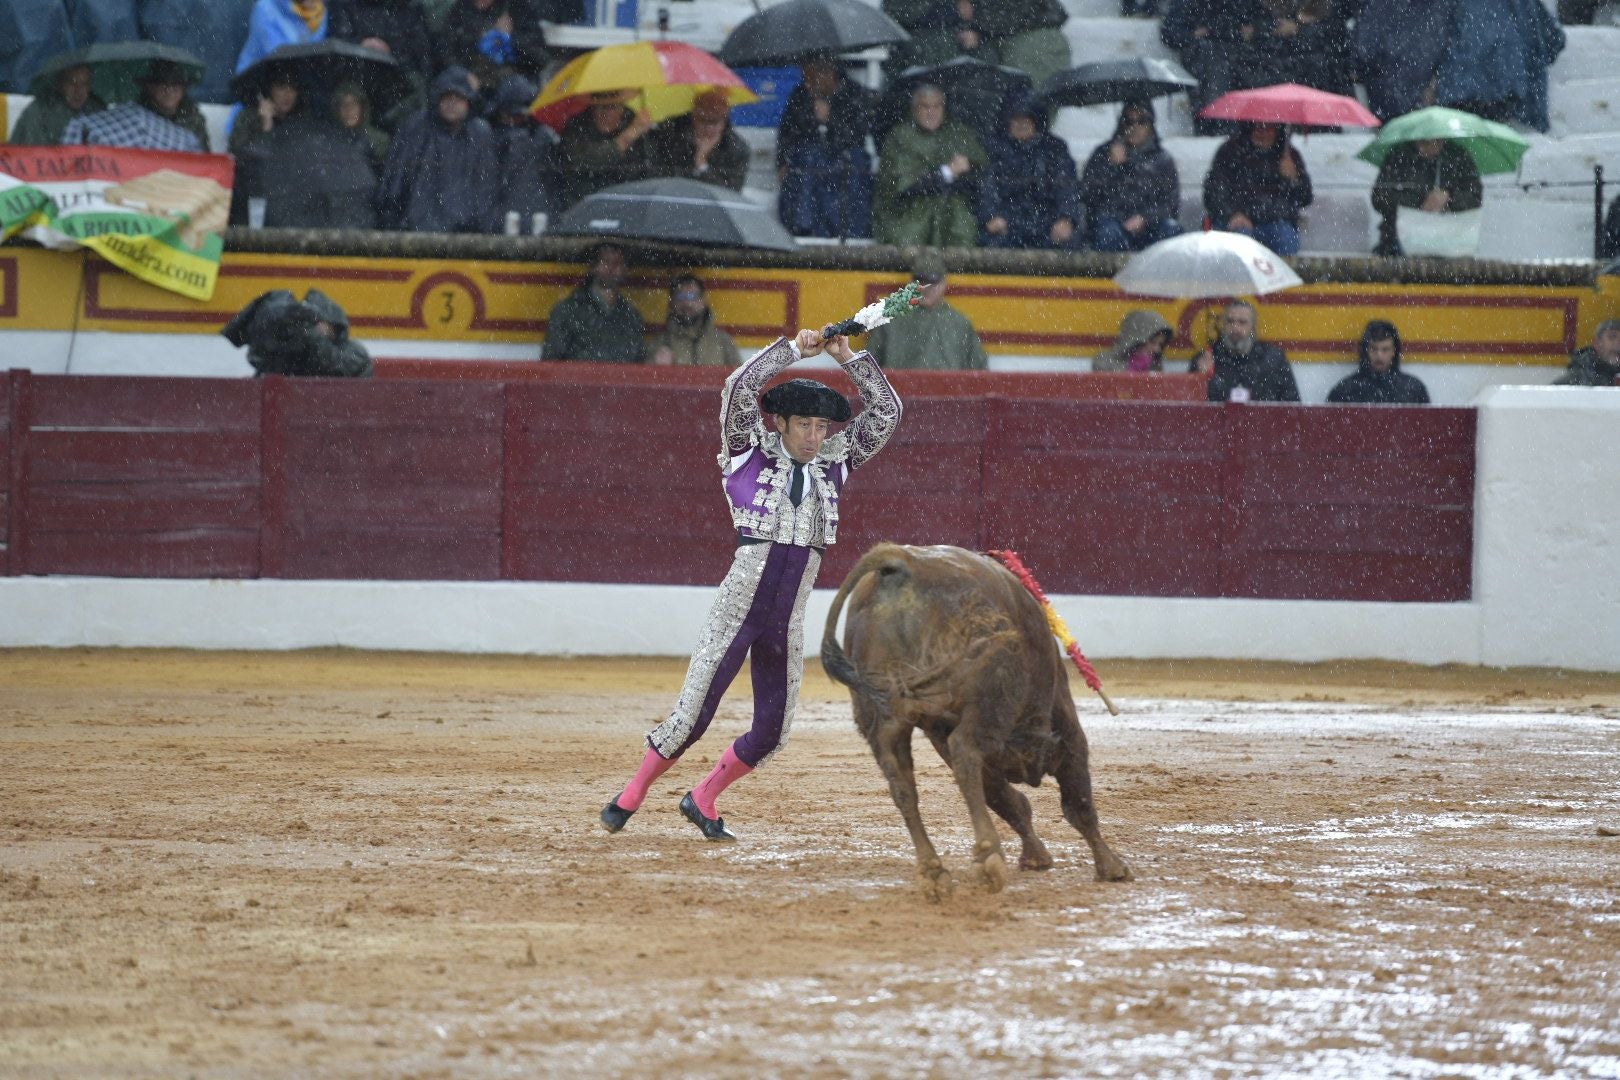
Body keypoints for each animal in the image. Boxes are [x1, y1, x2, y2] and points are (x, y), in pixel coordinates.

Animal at [816, 544, 1134, 900]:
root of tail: (901, 561)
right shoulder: (1066, 727)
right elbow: (1077, 803)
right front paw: (1112, 867)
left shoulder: (942, 734)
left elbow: (1008, 800)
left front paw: (1036, 856)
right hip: (989, 695)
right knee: (965, 751)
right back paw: (987, 855)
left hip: (883, 721)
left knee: (902, 787)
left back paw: (934, 871)